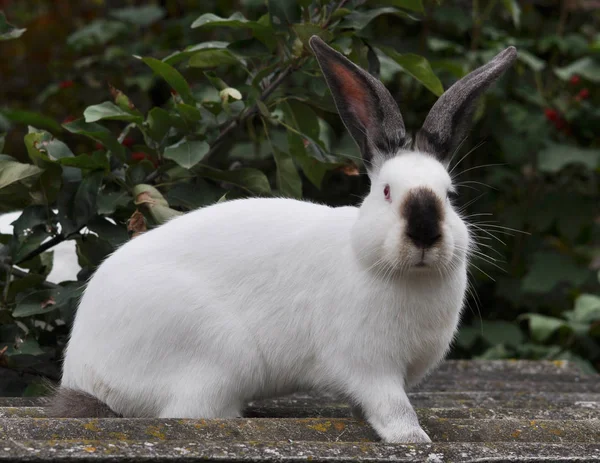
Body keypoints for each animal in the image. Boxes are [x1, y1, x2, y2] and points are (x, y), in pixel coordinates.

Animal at [48, 35, 516, 442]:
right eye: (386, 192)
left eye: (450, 195)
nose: (424, 232)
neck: (401, 274)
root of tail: (83, 376)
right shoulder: (370, 367)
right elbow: (392, 407)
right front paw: (413, 439)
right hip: (220, 356)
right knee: (188, 412)